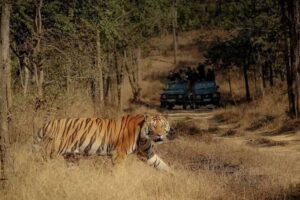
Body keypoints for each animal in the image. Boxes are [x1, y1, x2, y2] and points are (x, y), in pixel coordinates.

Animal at [33, 114, 175, 172]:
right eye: (153, 126)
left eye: (162, 125)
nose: (159, 135)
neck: (144, 137)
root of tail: (51, 122)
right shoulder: (119, 154)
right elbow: (119, 172)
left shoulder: (147, 153)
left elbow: (161, 164)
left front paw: (175, 176)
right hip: (51, 152)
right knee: (38, 162)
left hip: (71, 157)